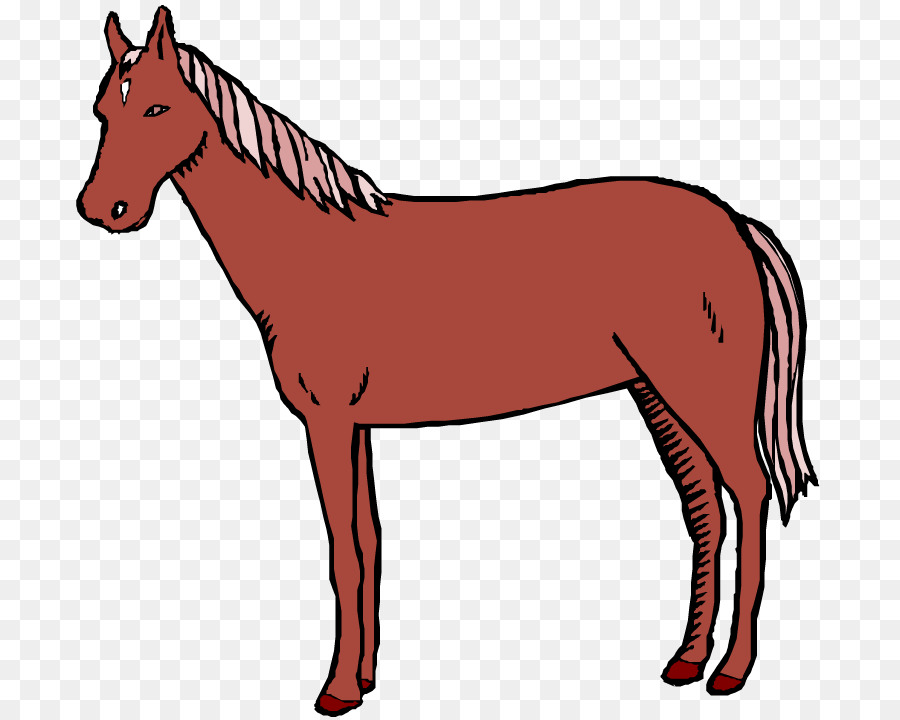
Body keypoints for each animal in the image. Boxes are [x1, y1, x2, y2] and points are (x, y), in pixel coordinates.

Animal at [77, 7, 817, 715]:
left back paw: (732, 671)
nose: (102, 209)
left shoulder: (327, 424)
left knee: (748, 496)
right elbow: (369, 544)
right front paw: (364, 679)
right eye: (103, 110)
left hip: (703, 394)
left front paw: (336, 691)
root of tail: (733, 223)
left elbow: (344, 556)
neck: (312, 253)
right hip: (658, 396)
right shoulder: (355, 427)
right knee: (705, 510)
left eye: (156, 109)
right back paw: (686, 661)